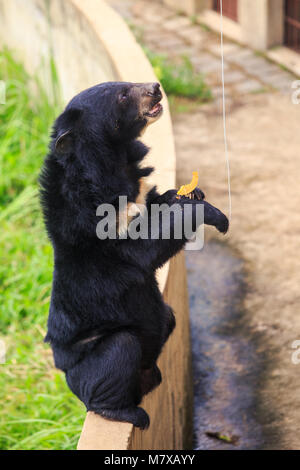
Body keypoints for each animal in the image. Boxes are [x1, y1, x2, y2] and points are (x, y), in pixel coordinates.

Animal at [39, 81, 227, 430]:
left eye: (125, 86)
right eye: (123, 95)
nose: (155, 87)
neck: (116, 161)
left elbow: (159, 203)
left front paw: (189, 192)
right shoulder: (98, 225)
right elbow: (142, 249)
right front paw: (214, 214)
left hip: (159, 325)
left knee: (166, 318)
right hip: (94, 360)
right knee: (120, 350)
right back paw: (129, 414)